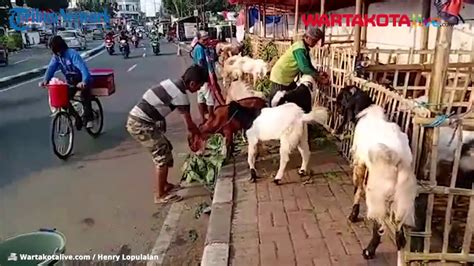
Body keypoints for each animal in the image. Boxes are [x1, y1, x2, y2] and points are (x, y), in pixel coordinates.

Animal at [350, 104, 416, 262]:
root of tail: (398, 159)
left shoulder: (360, 164)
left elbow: (358, 189)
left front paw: (353, 215)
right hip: (403, 201)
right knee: (400, 236)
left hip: (377, 195)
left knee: (378, 223)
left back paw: (369, 251)